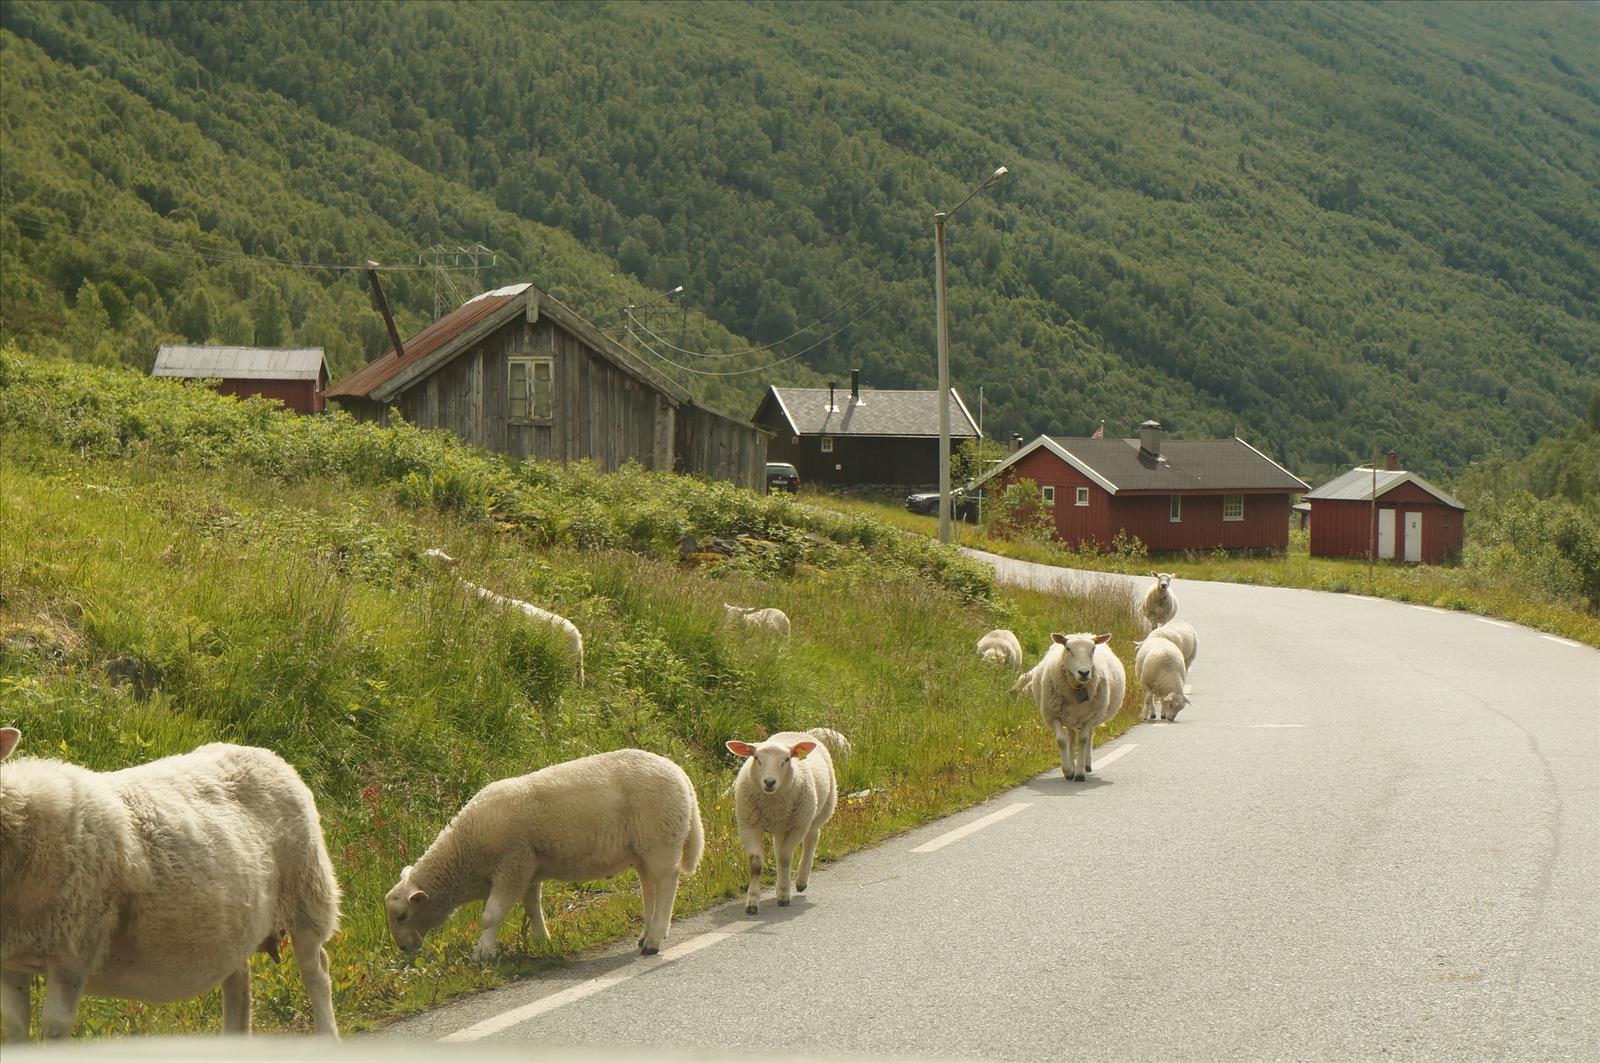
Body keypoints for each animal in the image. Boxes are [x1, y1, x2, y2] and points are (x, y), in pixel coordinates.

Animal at [1, 726, 340, 1043]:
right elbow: (14, 1025)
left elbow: (54, 1027)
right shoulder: (11, 962)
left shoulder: (74, 953)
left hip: (308, 891)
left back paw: (328, 1035)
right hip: (239, 917)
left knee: (317, 971)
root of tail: (267, 754)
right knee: (239, 980)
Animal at [384, 746, 704, 960]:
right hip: (643, 847)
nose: (403, 948)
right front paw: (541, 940)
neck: (465, 851)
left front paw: (482, 953)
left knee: (666, 883)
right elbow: (532, 906)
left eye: (401, 915)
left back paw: (654, 940)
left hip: (660, 836)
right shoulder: (528, 868)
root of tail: (682, 776)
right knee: (649, 886)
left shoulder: (512, 864)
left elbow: (490, 915)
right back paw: (645, 935)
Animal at [729, 730, 844, 915]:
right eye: (757, 758)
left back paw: (801, 881)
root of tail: (796, 732)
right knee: (779, 847)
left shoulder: (796, 827)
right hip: (781, 826)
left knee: (812, 837)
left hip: (816, 812)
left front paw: (783, 895)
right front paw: (752, 902)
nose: (769, 782)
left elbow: (784, 859)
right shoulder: (748, 826)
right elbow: (756, 864)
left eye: (786, 759)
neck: (773, 803)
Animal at [1036, 630, 1126, 781]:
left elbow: (1083, 740)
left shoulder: (1091, 717)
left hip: (1094, 715)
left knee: (1088, 736)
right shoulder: (1053, 715)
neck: (1078, 688)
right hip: (1070, 717)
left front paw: (1079, 773)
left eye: (1093, 649)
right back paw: (1072, 764)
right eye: (1068, 648)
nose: (1084, 673)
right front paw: (1068, 771)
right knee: (1071, 737)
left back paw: (1086, 764)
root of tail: (1084, 633)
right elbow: (1061, 740)